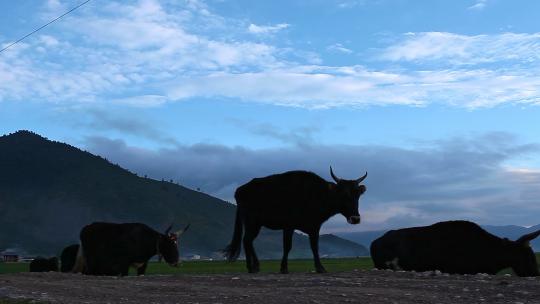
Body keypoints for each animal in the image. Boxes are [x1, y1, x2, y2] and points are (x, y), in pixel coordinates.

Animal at [224, 167, 368, 274]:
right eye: (344, 194)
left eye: (358, 195)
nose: (355, 218)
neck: (318, 194)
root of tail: (239, 190)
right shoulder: (289, 226)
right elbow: (287, 246)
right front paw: (284, 268)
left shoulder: (314, 226)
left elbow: (314, 246)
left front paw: (320, 268)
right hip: (251, 221)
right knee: (247, 240)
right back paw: (251, 267)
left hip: (256, 224)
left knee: (248, 241)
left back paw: (255, 266)